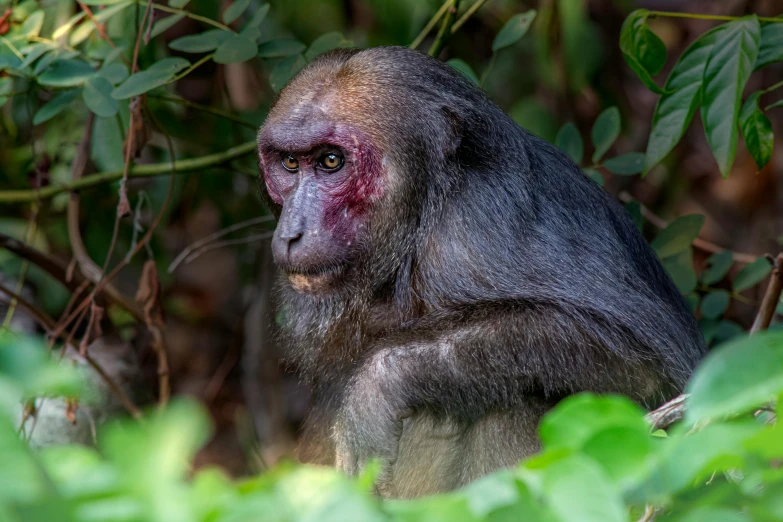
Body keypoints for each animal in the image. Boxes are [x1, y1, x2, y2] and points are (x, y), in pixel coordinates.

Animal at [256, 45, 704, 496]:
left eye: (331, 161)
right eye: (290, 163)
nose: (293, 230)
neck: (419, 216)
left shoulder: (477, 228)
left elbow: (644, 358)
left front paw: (377, 388)